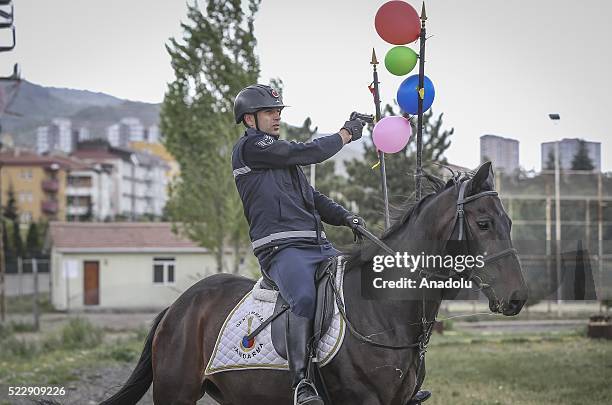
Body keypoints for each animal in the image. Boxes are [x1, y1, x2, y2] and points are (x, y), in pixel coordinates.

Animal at [100, 163, 524, 404]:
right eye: (483, 223)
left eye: (509, 222)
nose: (517, 297)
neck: (380, 310)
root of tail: (177, 308)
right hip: (176, 393)